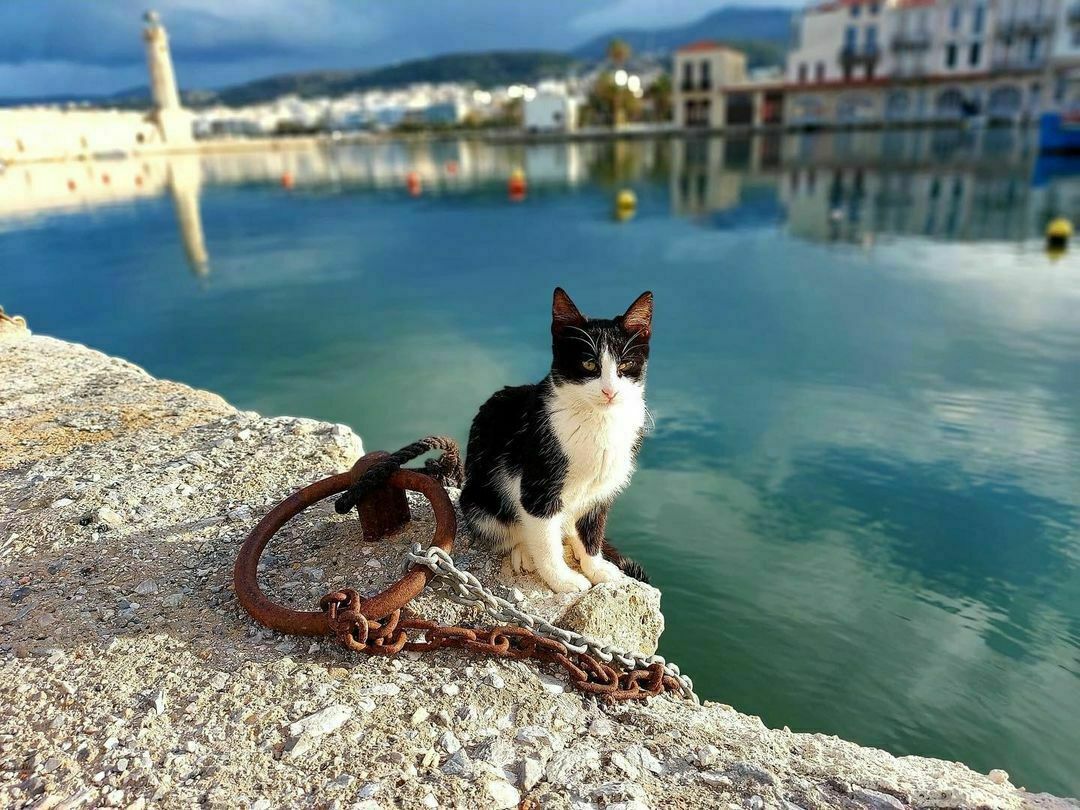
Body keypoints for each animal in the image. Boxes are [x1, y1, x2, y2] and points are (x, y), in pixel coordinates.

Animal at [462, 289, 652, 591]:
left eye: (625, 364)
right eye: (589, 364)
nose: (609, 391)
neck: (598, 421)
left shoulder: (603, 485)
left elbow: (593, 527)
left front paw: (596, 567)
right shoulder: (538, 483)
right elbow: (544, 538)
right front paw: (562, 579)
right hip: (477, 501)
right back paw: (524, 550)